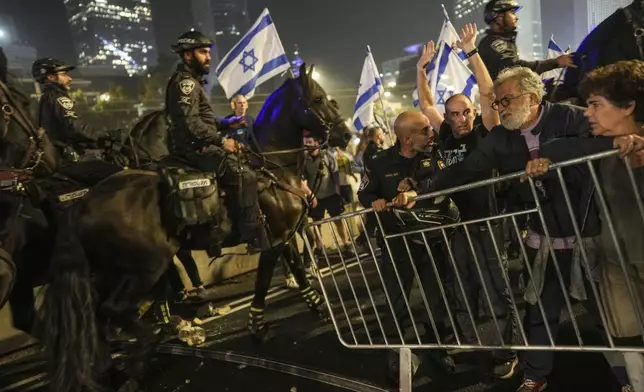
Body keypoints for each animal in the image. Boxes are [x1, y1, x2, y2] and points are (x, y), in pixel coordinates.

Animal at [39, 64, 352, 392]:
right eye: (318, 99)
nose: (345, 134)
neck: (272, 164)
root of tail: (84, 204)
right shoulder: (273, 239)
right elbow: (264, 279)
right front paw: (256, 325)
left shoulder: (285, 234)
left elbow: (297, 269)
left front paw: (318, 306)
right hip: (145, 267)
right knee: (113, 310)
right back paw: (143, 356)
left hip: (111, 271)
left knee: (98, 318)